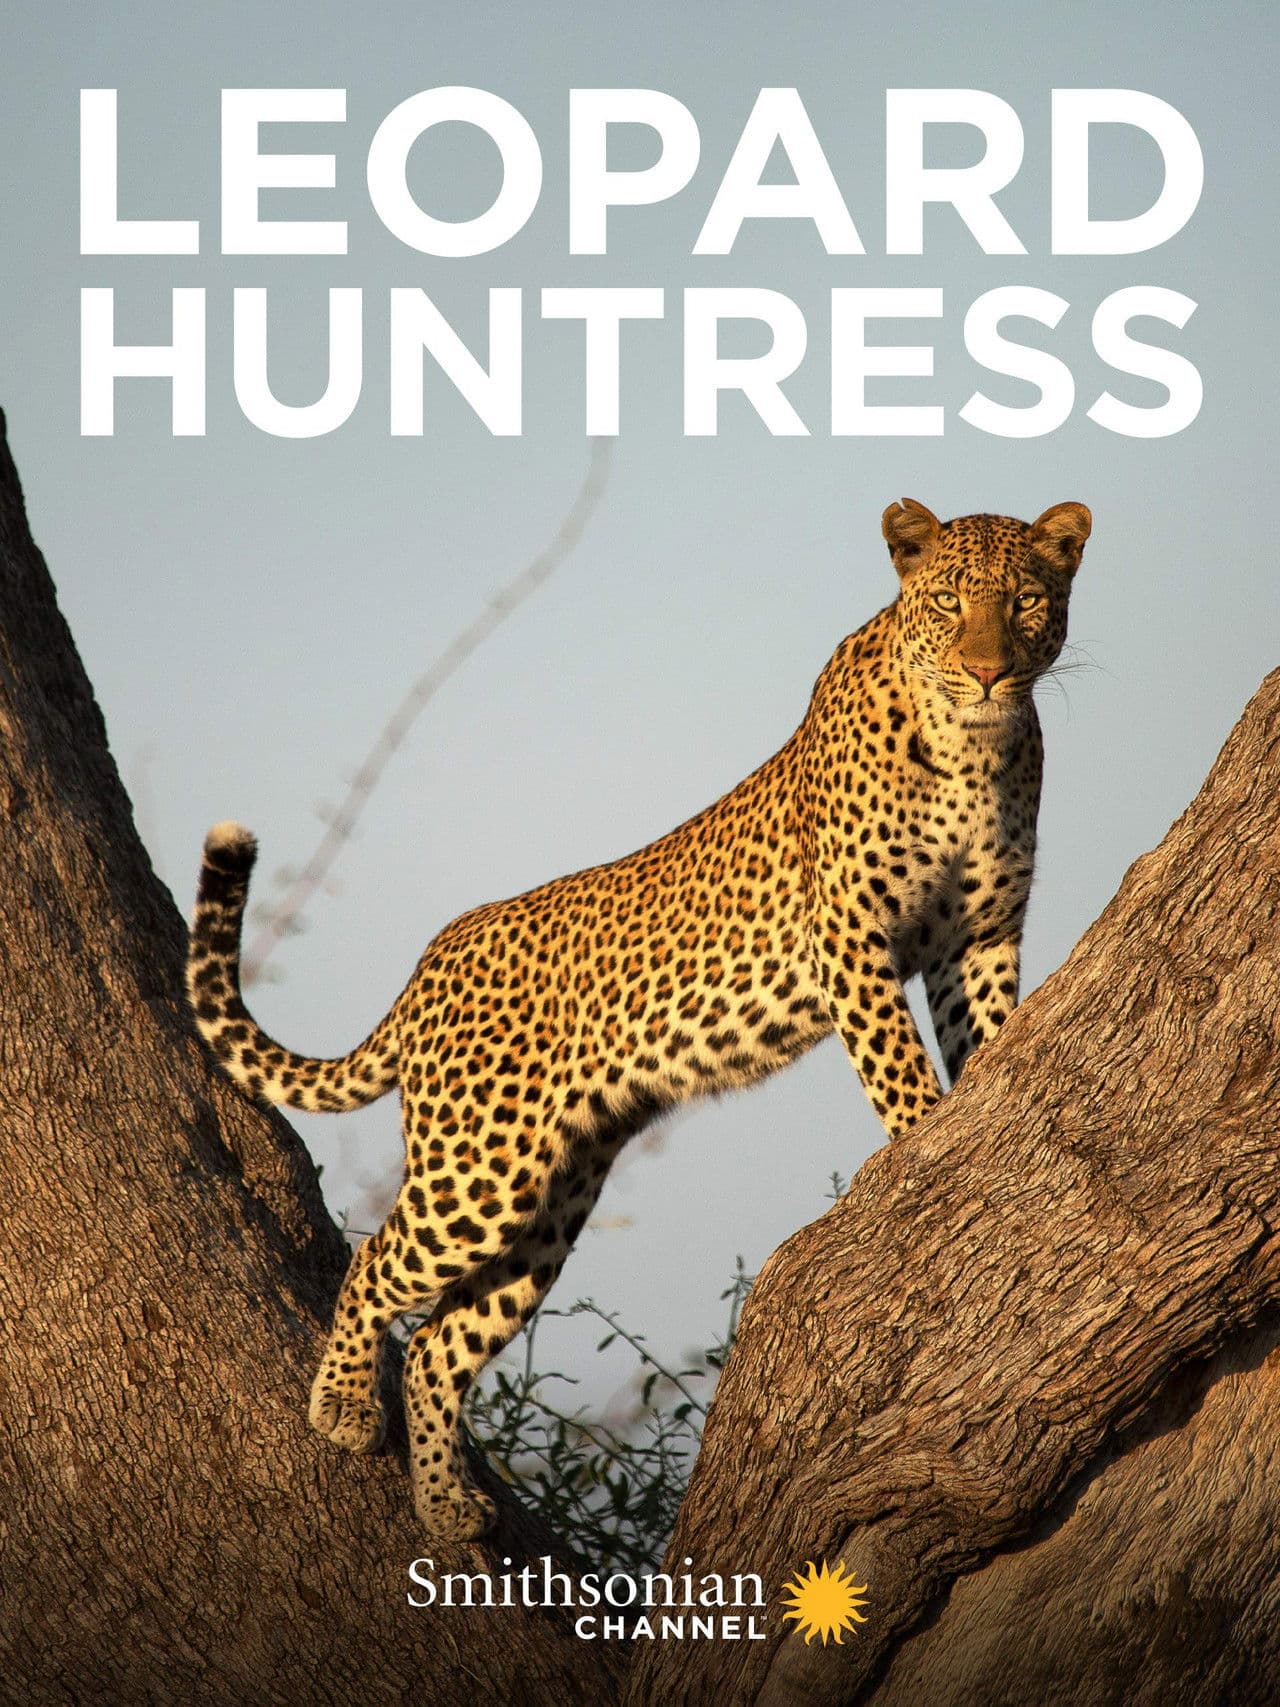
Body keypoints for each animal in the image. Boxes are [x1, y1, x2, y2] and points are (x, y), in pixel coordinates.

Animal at [187, 495, 1090, 1539]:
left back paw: (447, 1502)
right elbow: (901, 1071)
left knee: (441, 1342)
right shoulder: (852, 937)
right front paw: (925, 1154)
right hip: (479, 1166)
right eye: (948, 601)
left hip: (551, 1196)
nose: (989, 670)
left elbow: (984, 1035)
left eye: (1026, 600)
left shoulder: (978, 939)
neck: (971, 751)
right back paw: (339, 1405)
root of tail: (429, 964)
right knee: (377, 1257)